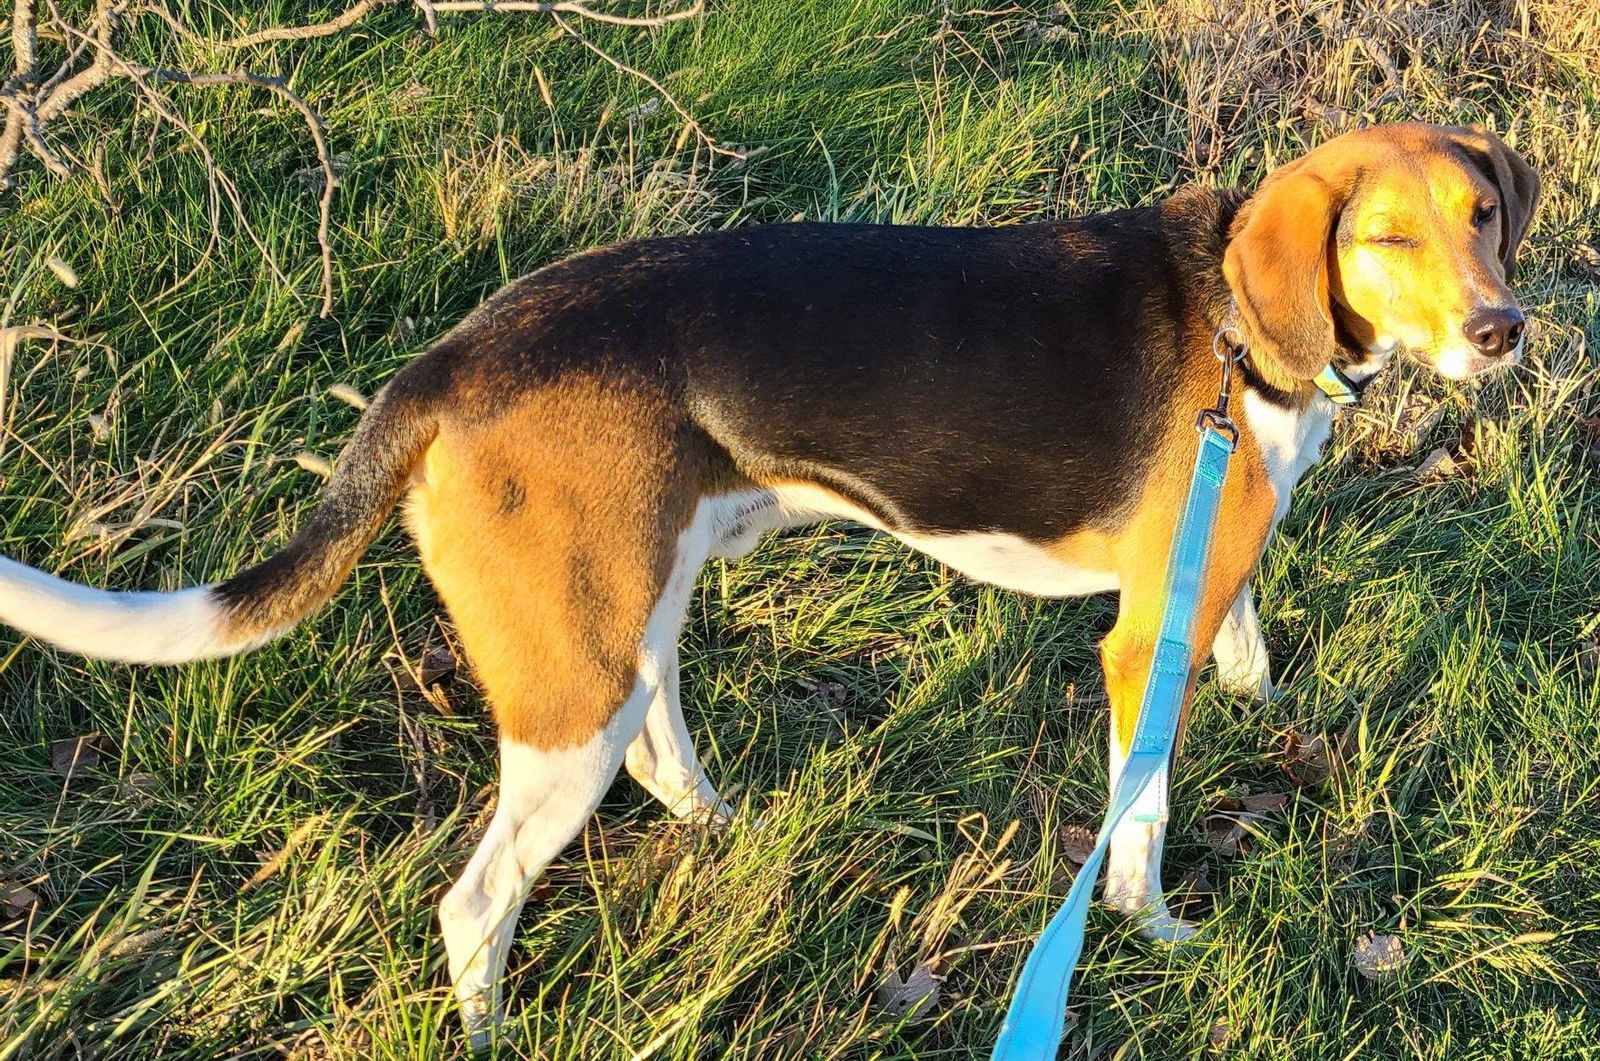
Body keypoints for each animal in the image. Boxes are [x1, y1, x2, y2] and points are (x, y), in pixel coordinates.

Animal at [0, 124, 1536, 1043]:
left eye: (1482, 215)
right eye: (1386, 238)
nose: (1507, 330)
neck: (1230, 315)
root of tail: (452, 359)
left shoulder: (1210, 579)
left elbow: (1245, 654)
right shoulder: (1136, 641)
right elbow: (1144, 807)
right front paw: (1153, 927)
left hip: (629, 621)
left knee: (663, 755)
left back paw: (736, 828)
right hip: (571, 692)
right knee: (476, 902)